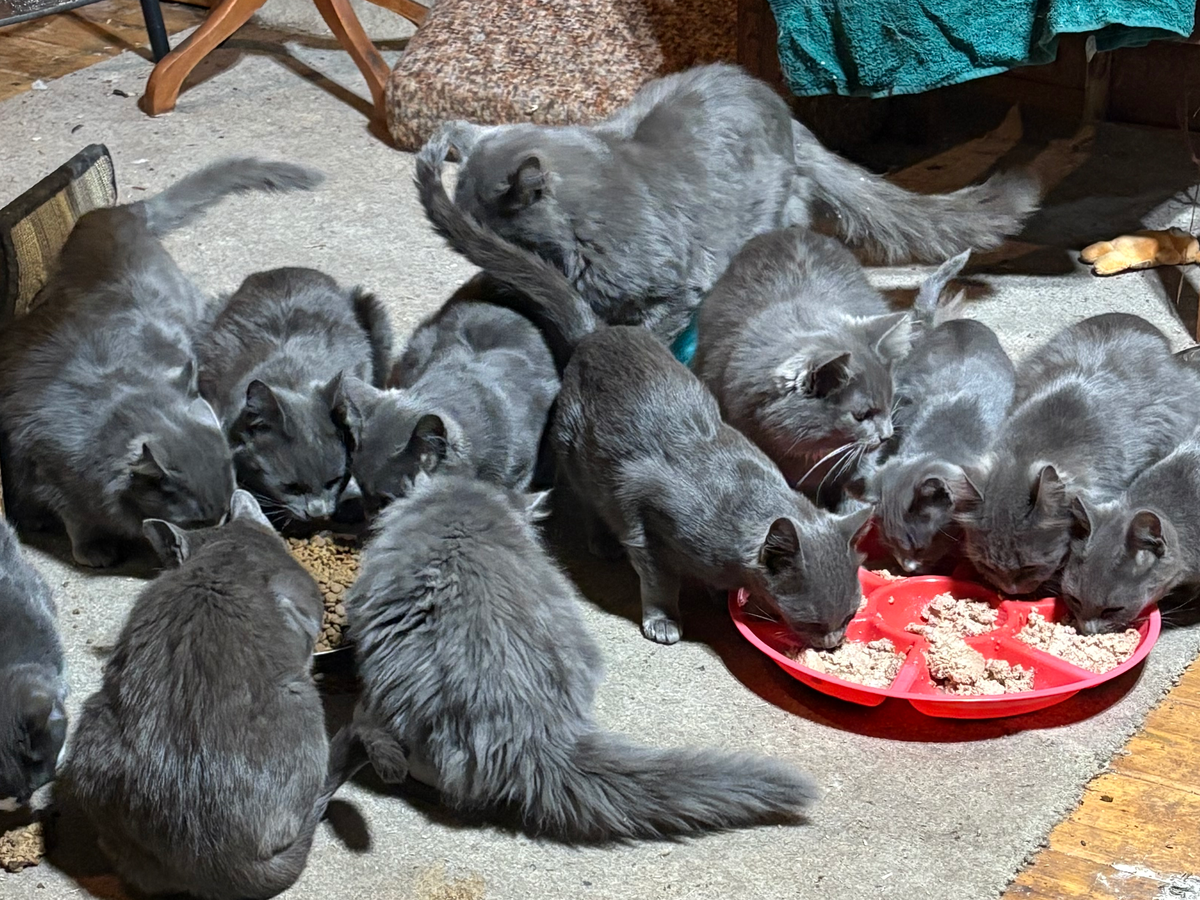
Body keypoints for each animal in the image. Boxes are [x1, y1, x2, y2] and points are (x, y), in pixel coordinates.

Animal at [0, 158, 322, 566]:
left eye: (224, 510)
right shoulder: (49, 469)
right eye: (198, 521)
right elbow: (77, 518)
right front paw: (95, 549)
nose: (221, 528)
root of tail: (118, 213)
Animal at [416, 143, 870, 646]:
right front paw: (665, 619)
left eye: (850, 614)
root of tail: (598, 331)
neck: (741, 507)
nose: (834, 643)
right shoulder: (643, 516)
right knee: (591, 502)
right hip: (578, 455)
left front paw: (720, 595)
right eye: (813, 623)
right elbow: (659, 578)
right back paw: (601, 543)